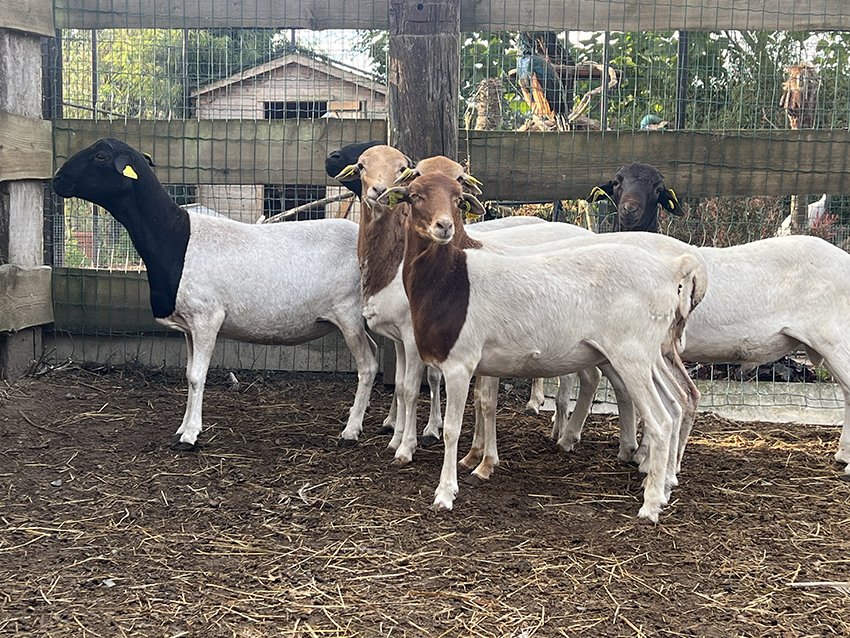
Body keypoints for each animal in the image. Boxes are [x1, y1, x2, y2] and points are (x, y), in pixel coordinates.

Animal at [52, 138, 379, 450]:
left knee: (368, 366)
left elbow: (198, 377)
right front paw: (182, 429)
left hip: (348, 313)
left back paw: (350, 432)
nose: (57, 179)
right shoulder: (189, 325)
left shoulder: (207, 317)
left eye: (100, 156)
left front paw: (189, 437)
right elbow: (188, 375)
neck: (174, 237)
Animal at [386, 172, 705, 521]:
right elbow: (484, 406)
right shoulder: (483, 362)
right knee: (675, 406)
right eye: (415, 195)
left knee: (661, 421)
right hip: (649, 355)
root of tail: (671, 269)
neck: (448, 283)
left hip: (631, 355)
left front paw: (445, 493)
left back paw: (649, 506)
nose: (444, 226)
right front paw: (480, 464)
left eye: (458, 199)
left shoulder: (460, 362)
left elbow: (452, 429)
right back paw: (662, 488)